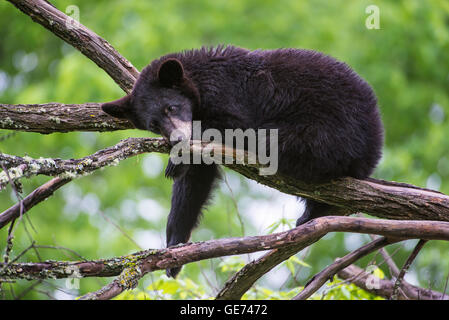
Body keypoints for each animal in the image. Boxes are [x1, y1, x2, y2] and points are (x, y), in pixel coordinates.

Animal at [100, 45, 382, 278]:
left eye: (172, 107)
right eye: (154, 124)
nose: (178, 138)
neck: (200, 81)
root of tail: (374, 146)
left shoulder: (230, 95)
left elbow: (234, 129)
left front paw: (178, 159)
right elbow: (194, 183)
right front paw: (174, 247)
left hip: (326, 135)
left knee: (276, 143)